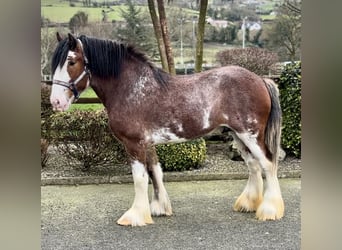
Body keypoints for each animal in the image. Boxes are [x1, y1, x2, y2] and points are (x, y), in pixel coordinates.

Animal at [49, 33, 284, 227]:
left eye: (71, 61)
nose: (56, 102)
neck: (131, 88)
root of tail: (260, 79)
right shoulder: (147, 143)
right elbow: (156, 172)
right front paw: (158, 208)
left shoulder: (134, 144)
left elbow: (140, 178)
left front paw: (135, 216)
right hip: (238, 135)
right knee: (253, 165)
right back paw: (249, 204)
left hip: (251, 134)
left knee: (267, 163)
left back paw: (270, 210)